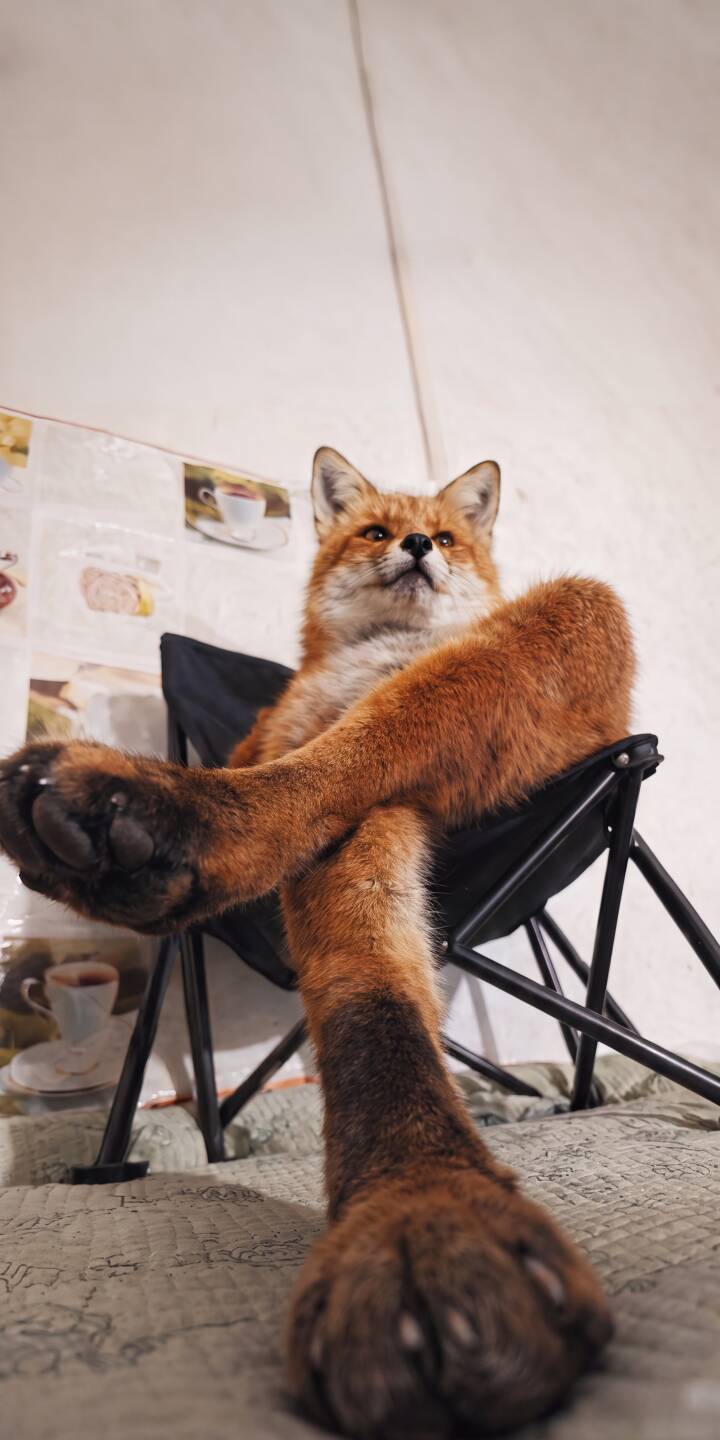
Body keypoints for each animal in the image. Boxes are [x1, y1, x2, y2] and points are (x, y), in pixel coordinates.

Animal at [0, 447, 634, 1437]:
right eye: (375, 531)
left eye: (443, 535)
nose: (417, 546)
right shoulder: (308, 773)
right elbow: (365, 979)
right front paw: (415, 1202)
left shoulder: (379, 805)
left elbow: (368, 973)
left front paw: (418, 1206)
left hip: (583, 617)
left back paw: (156, 820)